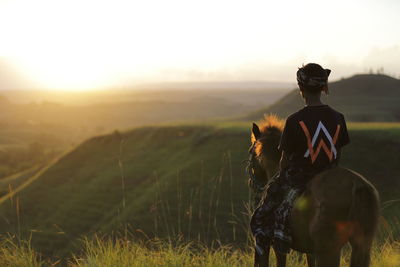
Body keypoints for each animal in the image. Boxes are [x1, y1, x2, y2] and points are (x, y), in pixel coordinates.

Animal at [248, 115, 380, 267]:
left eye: (251, 152)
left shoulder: (275, 243)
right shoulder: (310, 251)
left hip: (329, 251)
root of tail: (357, 185)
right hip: (362, 245)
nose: (252, 183)